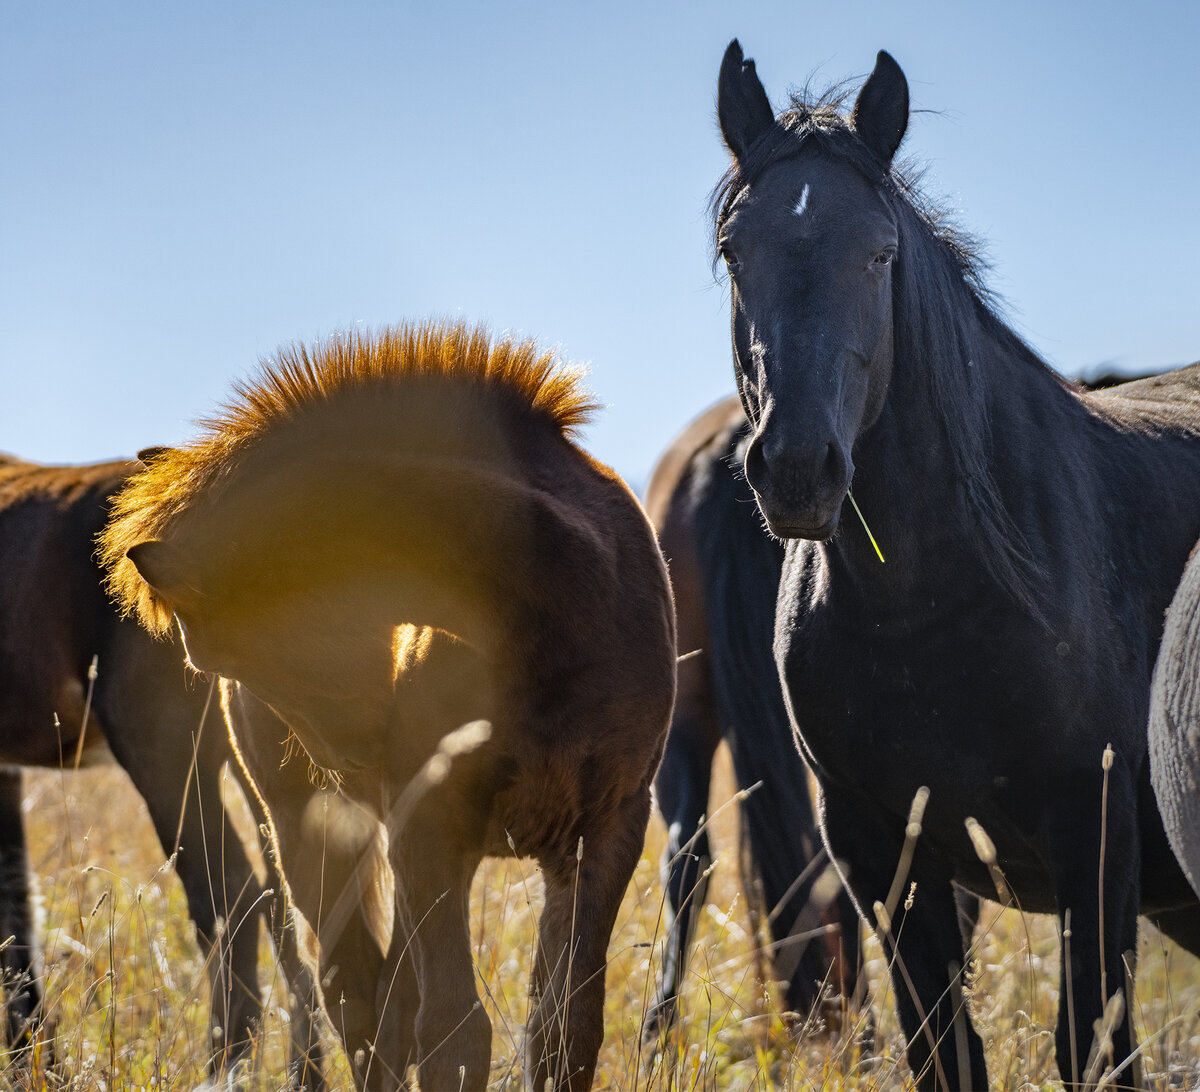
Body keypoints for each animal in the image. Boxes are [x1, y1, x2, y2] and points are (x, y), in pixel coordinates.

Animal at [0, 451, 319, 1075]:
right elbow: (17, 908)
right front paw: (38, 1066)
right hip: (261, 764)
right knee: (289, 902)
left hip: (167, 755)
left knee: (231, 898)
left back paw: (221, 1072)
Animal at [98, 321, 681, 1089]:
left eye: (223, 651)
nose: (346, 757)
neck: (558, 604)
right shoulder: (429, 825)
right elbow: (453, 1032)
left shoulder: (606, 831)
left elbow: (564, 1030)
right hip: (306, 827)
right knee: (355, 997)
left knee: (389, 1000)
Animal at [710, 38, 1200, 1089]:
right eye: (735, 252)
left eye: (881, 253)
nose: (797, 468)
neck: (930, 612)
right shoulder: (880, 855)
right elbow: (946, 1051)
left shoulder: (1096, 839)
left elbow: (1094, 1049)